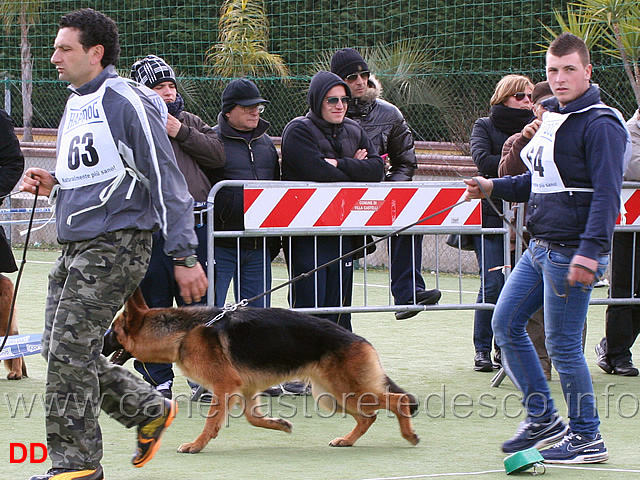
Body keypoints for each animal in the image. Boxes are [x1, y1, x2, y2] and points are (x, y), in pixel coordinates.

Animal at [105, 288, 420, 454]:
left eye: (112, 331)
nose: (98, 341)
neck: (183, 333)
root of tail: (359, 340)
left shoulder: (224, 386)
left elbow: (210, 422)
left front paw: (196, 445)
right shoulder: (244, 390)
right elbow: (252, 418)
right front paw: (279, 424)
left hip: (347, 390)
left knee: (398, 400)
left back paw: (409, 436)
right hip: (331, 396)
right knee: (368, 417)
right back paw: (347, 440)